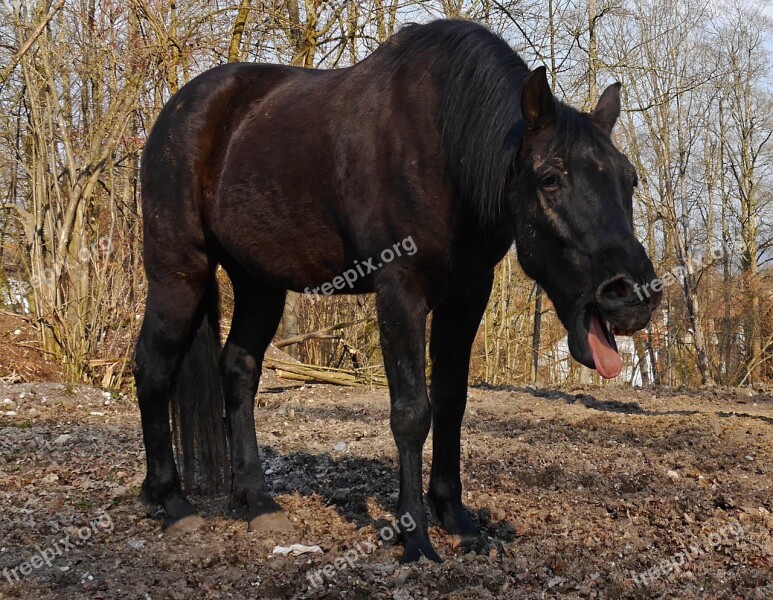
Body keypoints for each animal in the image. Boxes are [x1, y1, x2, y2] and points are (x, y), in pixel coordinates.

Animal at [133, 18, 656, 564]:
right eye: (551, 178)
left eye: (630, 180)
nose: (634, 296)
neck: (446, 147)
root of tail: (177, 109)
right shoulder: (399, 291)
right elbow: (411, 413)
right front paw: (415, 537)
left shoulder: (468, 294)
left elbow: (451, 401)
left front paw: (455, 516)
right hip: (179, 272)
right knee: (153, 368)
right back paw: (171, 500)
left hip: (258, 284)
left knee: (239, 371)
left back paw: (256, 500)